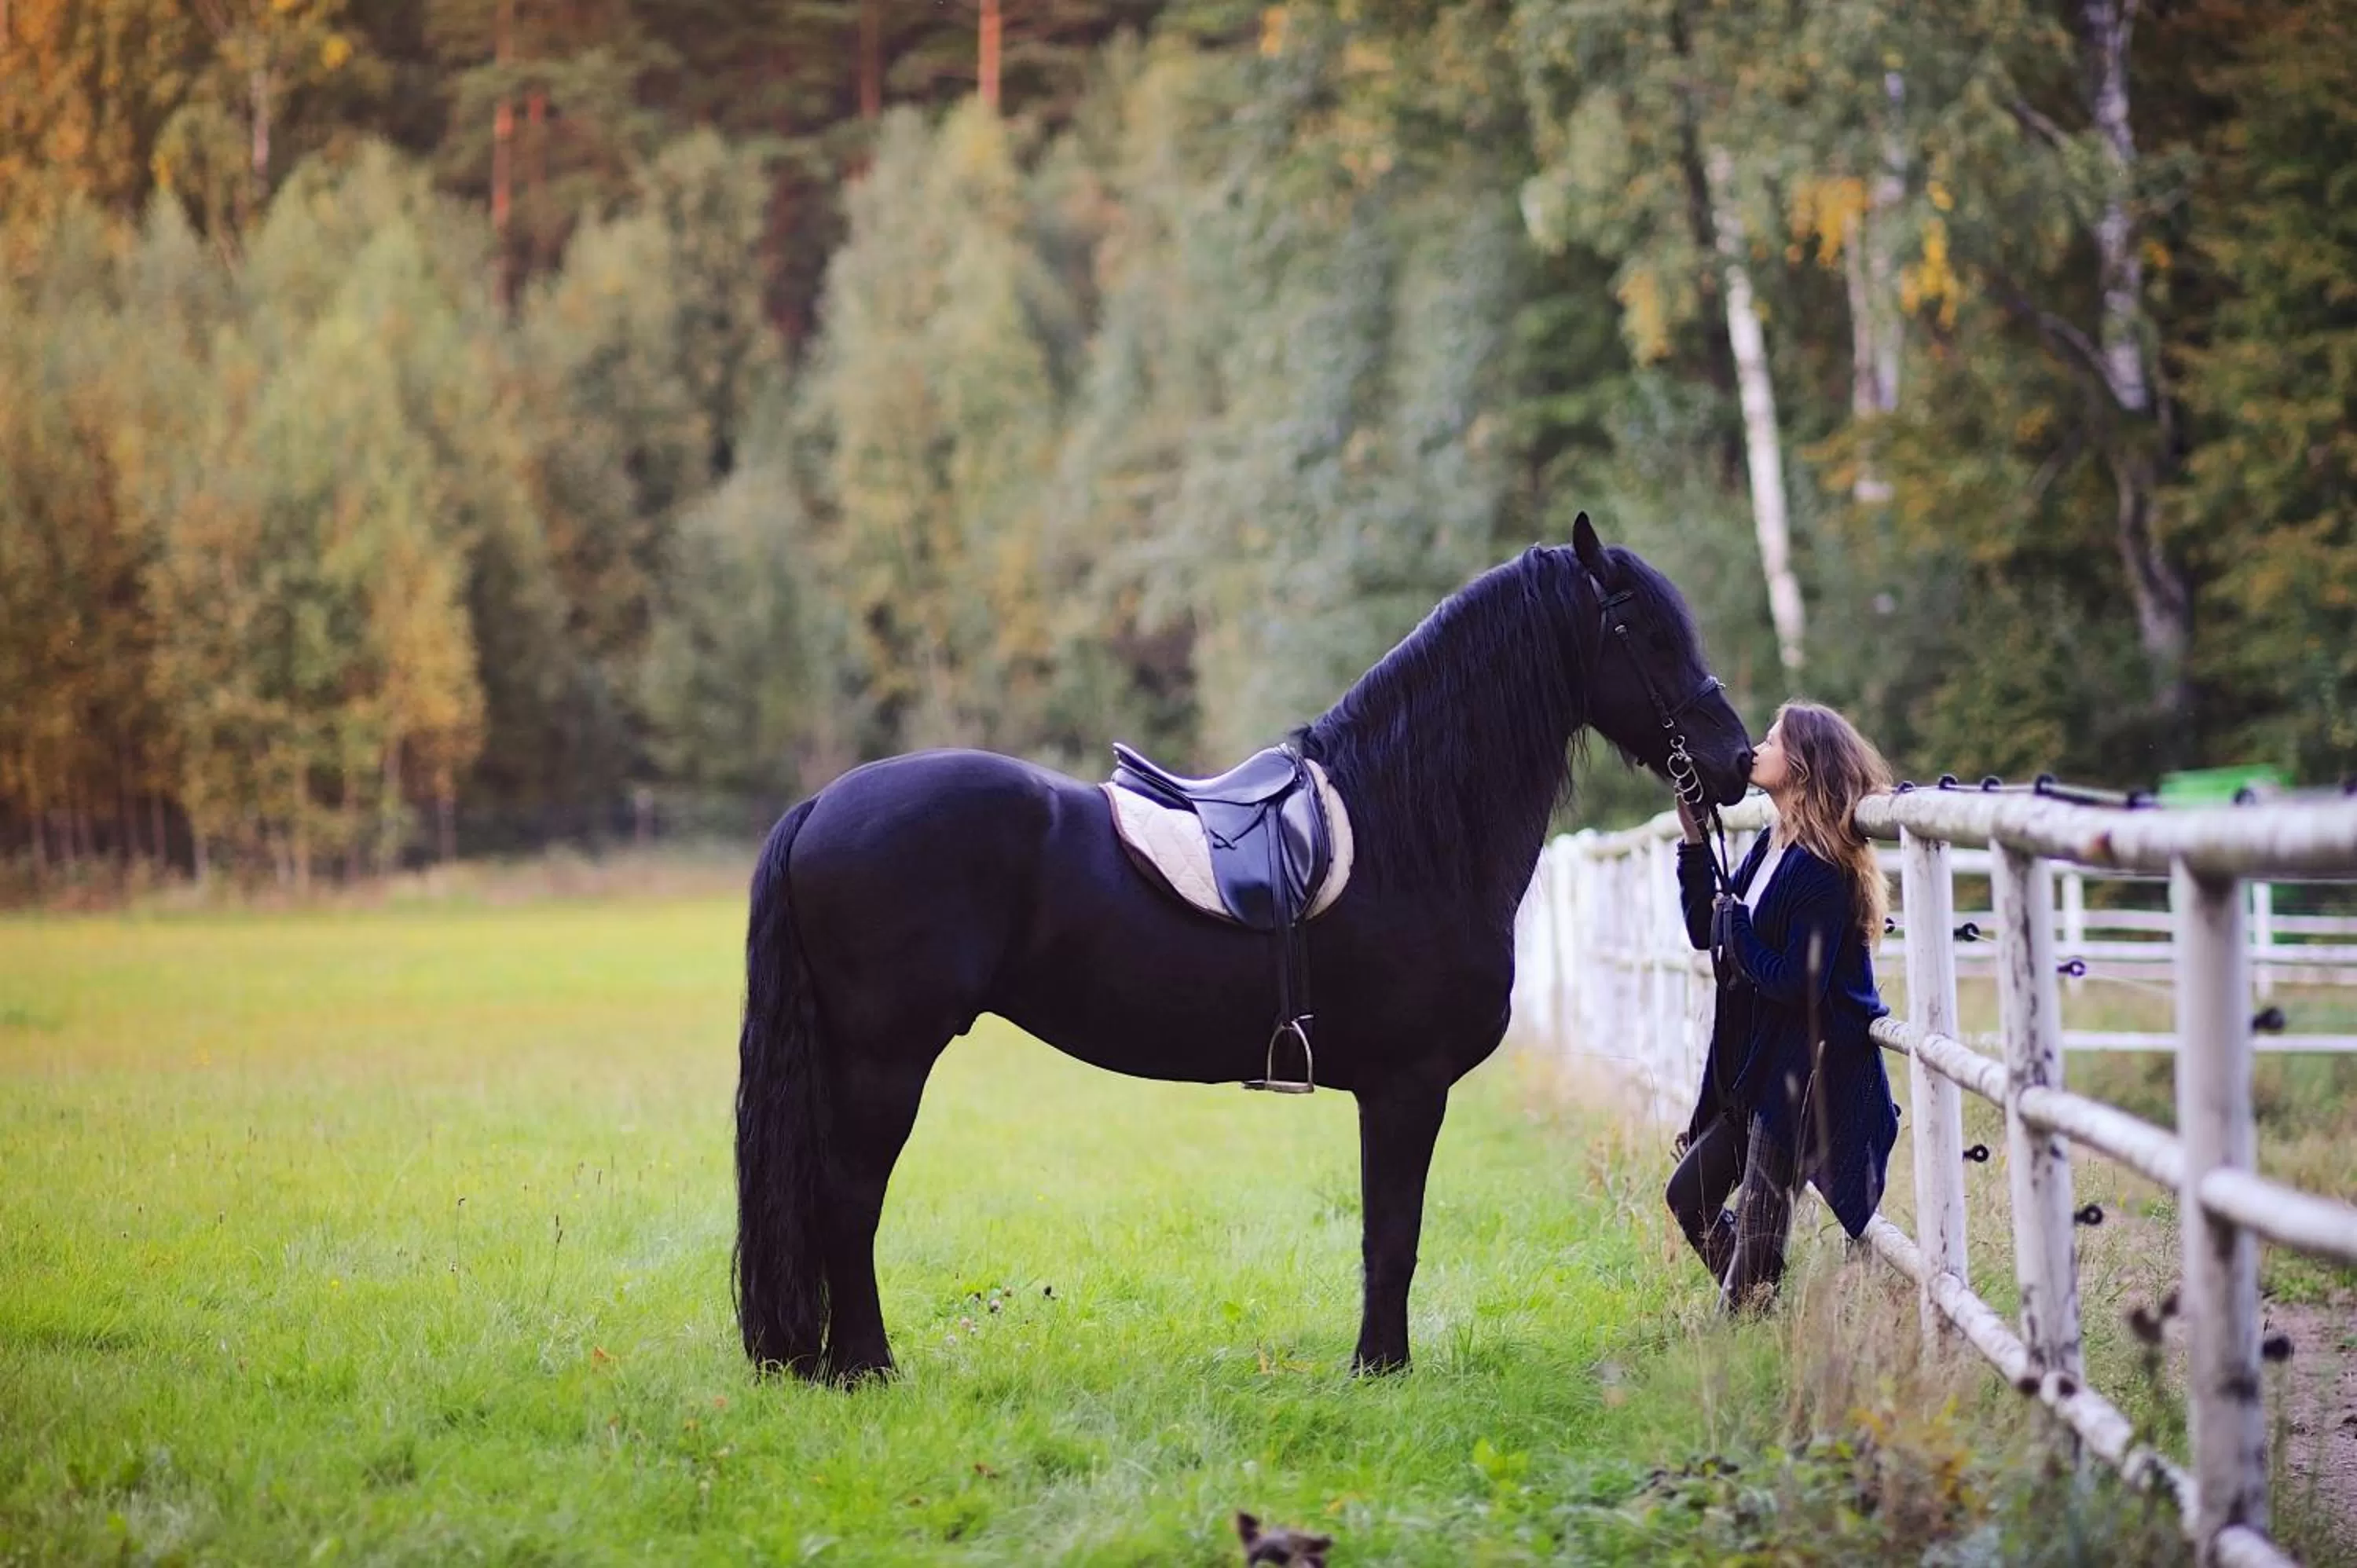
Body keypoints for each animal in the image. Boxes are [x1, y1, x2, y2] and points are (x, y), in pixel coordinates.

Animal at [734, 513, 1754, 1382]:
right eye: (1645, 632)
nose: (1737, 760)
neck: (1409, 827)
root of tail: (822, 804)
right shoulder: (1407, 1086)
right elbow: (1394, 1233)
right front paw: (1381, 1368)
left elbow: (1388, 1232)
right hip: (886, 1057)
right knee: (849, 1197)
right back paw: (867, 1367)